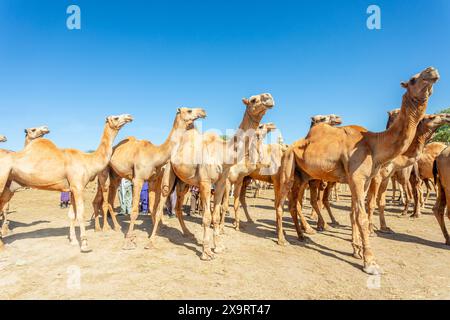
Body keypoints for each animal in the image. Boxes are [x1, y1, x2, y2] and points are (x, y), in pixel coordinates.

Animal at [0, 114, 134, 251]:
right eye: (116, 117)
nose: (129, 116)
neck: (88, 160)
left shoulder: (72, 188)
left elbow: (72, 214)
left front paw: (73, 241)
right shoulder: (78, 186)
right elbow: (80, 214)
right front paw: (84, 244)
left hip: (8, 187)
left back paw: (2, 245)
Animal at [92, 108, 207, 248]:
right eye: (189, 110)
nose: (203, 111)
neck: (155, 155)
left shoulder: (153, 181)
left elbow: (153, 207)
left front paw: (156, 232)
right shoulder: (138, 179)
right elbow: (135, 210)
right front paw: (129, 239)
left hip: (115, 177)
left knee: (105, 200)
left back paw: (109, 227)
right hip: (104, 175)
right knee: (104, 200)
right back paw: (105, 228)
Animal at [150, 93, 274, 260]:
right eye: (253, 100)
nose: (268, 97)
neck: (223, 154)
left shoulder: (221, 183)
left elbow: (216, 213)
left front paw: (219, 247)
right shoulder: (205, 182)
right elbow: (207, 217)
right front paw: (206, 252)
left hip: (183, 182)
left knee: (178, 206)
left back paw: (188, 233)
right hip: (168, 174)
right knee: (160, 204)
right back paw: (150, 242)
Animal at [278, 67, 440, 276]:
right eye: (413, 79)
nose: (432, 71)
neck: (375, 143)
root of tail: (290, 146)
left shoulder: (366, 179)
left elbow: (355, 212)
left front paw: (357, 250)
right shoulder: (357, 177)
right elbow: (361, 216)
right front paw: (370, 262)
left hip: (304, 175)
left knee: (293, 203)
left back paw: (302, 235)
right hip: (289, 166)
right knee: (282, 202)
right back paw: (283, 239)